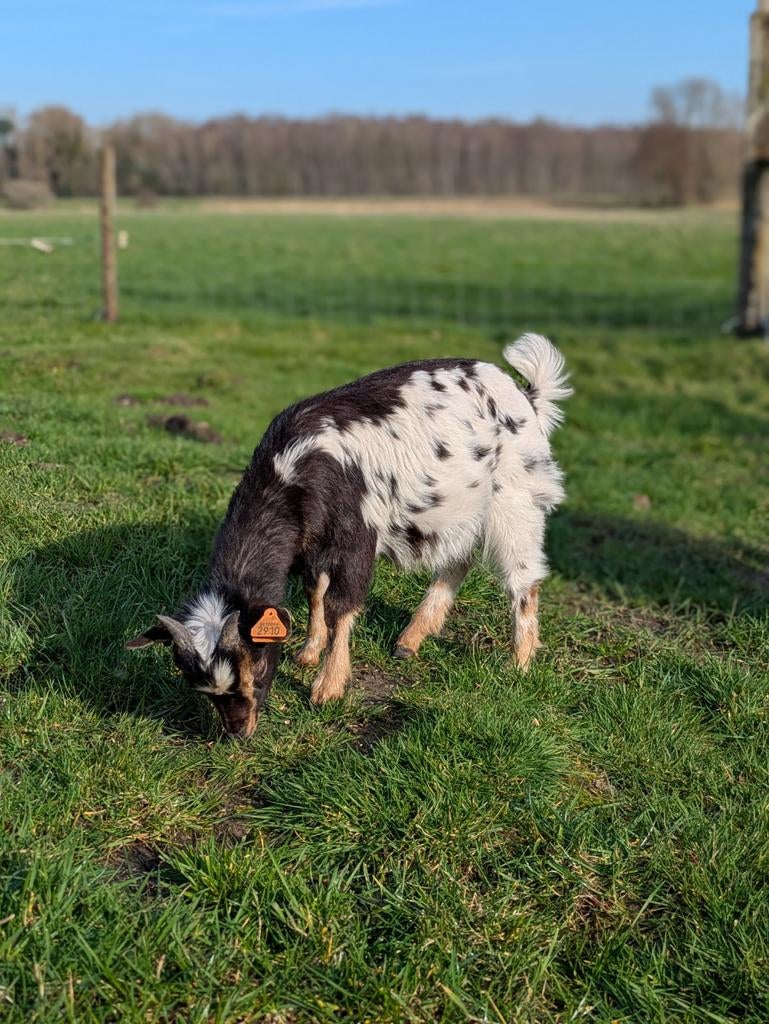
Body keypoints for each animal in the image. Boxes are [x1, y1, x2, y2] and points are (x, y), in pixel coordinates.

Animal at [127, 333, 572, 739]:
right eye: (203, 690)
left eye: (258, 663)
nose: (239, 732)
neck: (291, 471)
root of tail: (527, 396)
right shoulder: (312, 546)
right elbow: (315, 593)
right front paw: (309, 651)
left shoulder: (356, 538)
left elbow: (341, 605)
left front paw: (328, 687)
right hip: (459, 507)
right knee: (457, 559)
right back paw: (411, 638)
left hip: (515, 499)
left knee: (523, 578)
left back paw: (518, 663)